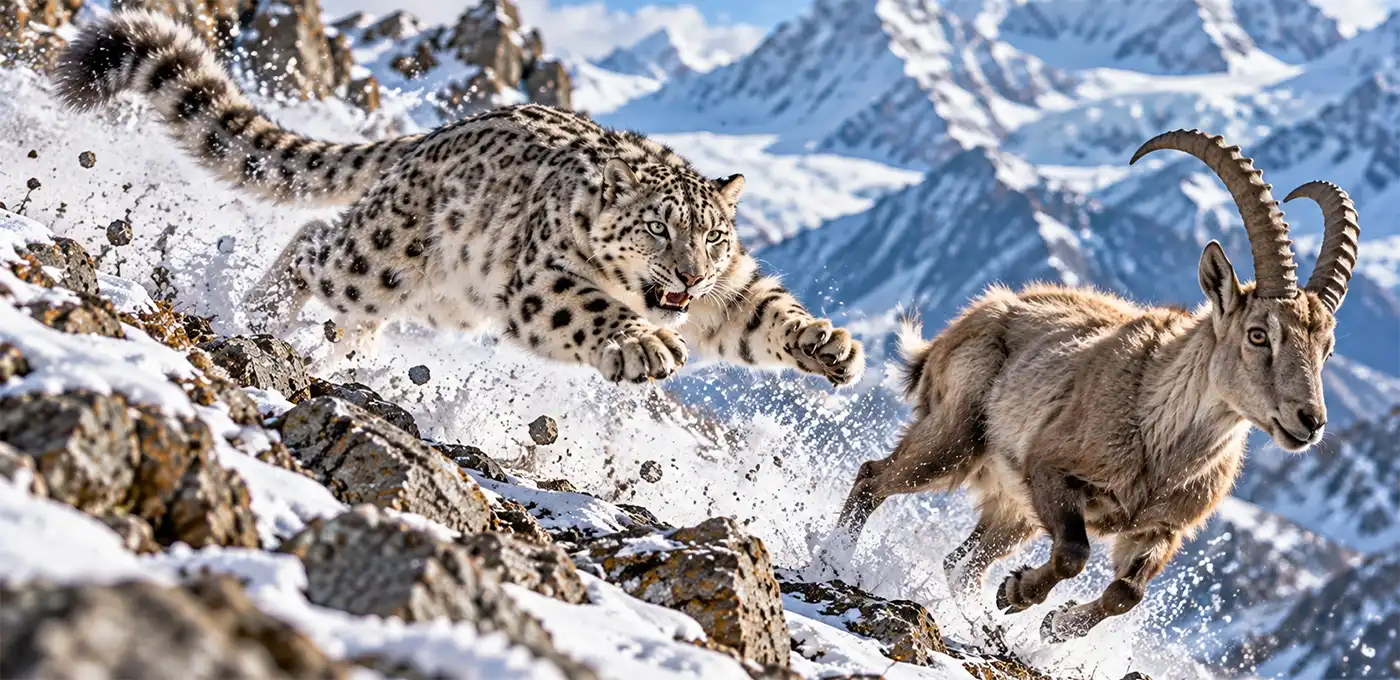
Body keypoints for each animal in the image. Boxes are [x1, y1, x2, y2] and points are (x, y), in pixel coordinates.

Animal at [55, 10, 865, 385]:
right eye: (658, 230)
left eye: (715, 238)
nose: (690, 277)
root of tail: (430, 137)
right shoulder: (541, 280)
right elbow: (590, 307)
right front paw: (645, 346)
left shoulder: (734, 291)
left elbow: (762, 315)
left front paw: (831, 345)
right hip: (381, 261)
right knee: (316, 242)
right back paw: (256, 312)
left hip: (440, 295)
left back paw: (348, 351)